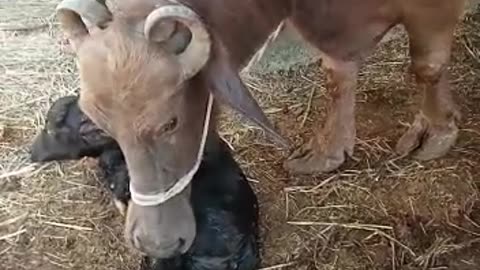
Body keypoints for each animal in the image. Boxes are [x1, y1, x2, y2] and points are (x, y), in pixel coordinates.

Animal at [54, 0, 466, 258]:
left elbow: (428, 65)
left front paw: (436, 130)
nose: (156, 244)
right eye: (102, 124)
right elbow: (337, 73)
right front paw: (328, 151)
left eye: (170, 122)